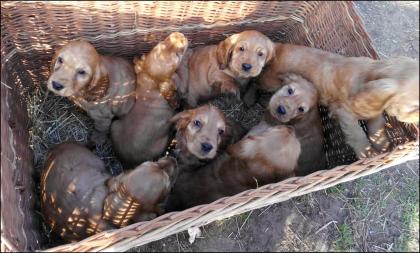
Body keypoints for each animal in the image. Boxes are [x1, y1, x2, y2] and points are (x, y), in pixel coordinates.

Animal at [258, 43, 418, 158]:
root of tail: (277, 47)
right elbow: (358, 134)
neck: (370, 73)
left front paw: (382, 146)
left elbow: (376, 127)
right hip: (269, 82)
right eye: (414, 107)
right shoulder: (345, 111)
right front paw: (368, 153)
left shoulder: (374, 111)